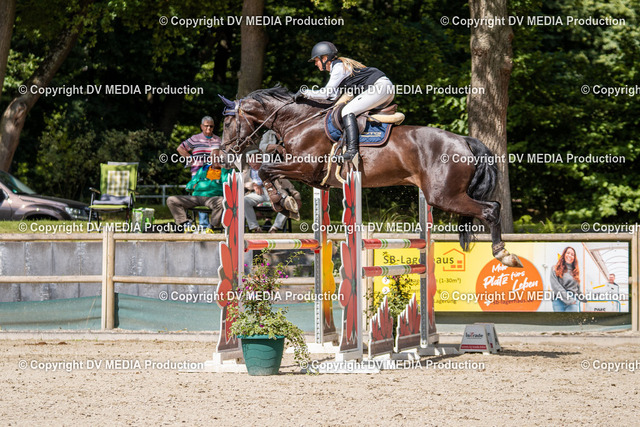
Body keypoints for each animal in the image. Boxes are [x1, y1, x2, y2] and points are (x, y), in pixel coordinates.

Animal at [219, 86, 522, 267]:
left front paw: (284, 204)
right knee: (490, 208)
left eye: (227, 122)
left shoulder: (305, 168)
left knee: (491, 209)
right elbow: (269, 161)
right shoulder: (304, 171)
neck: (300, 120)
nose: (223, 154)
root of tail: (465, 140)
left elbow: (266, 170)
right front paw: (286, 201)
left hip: (444, 196)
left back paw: (503, 254)